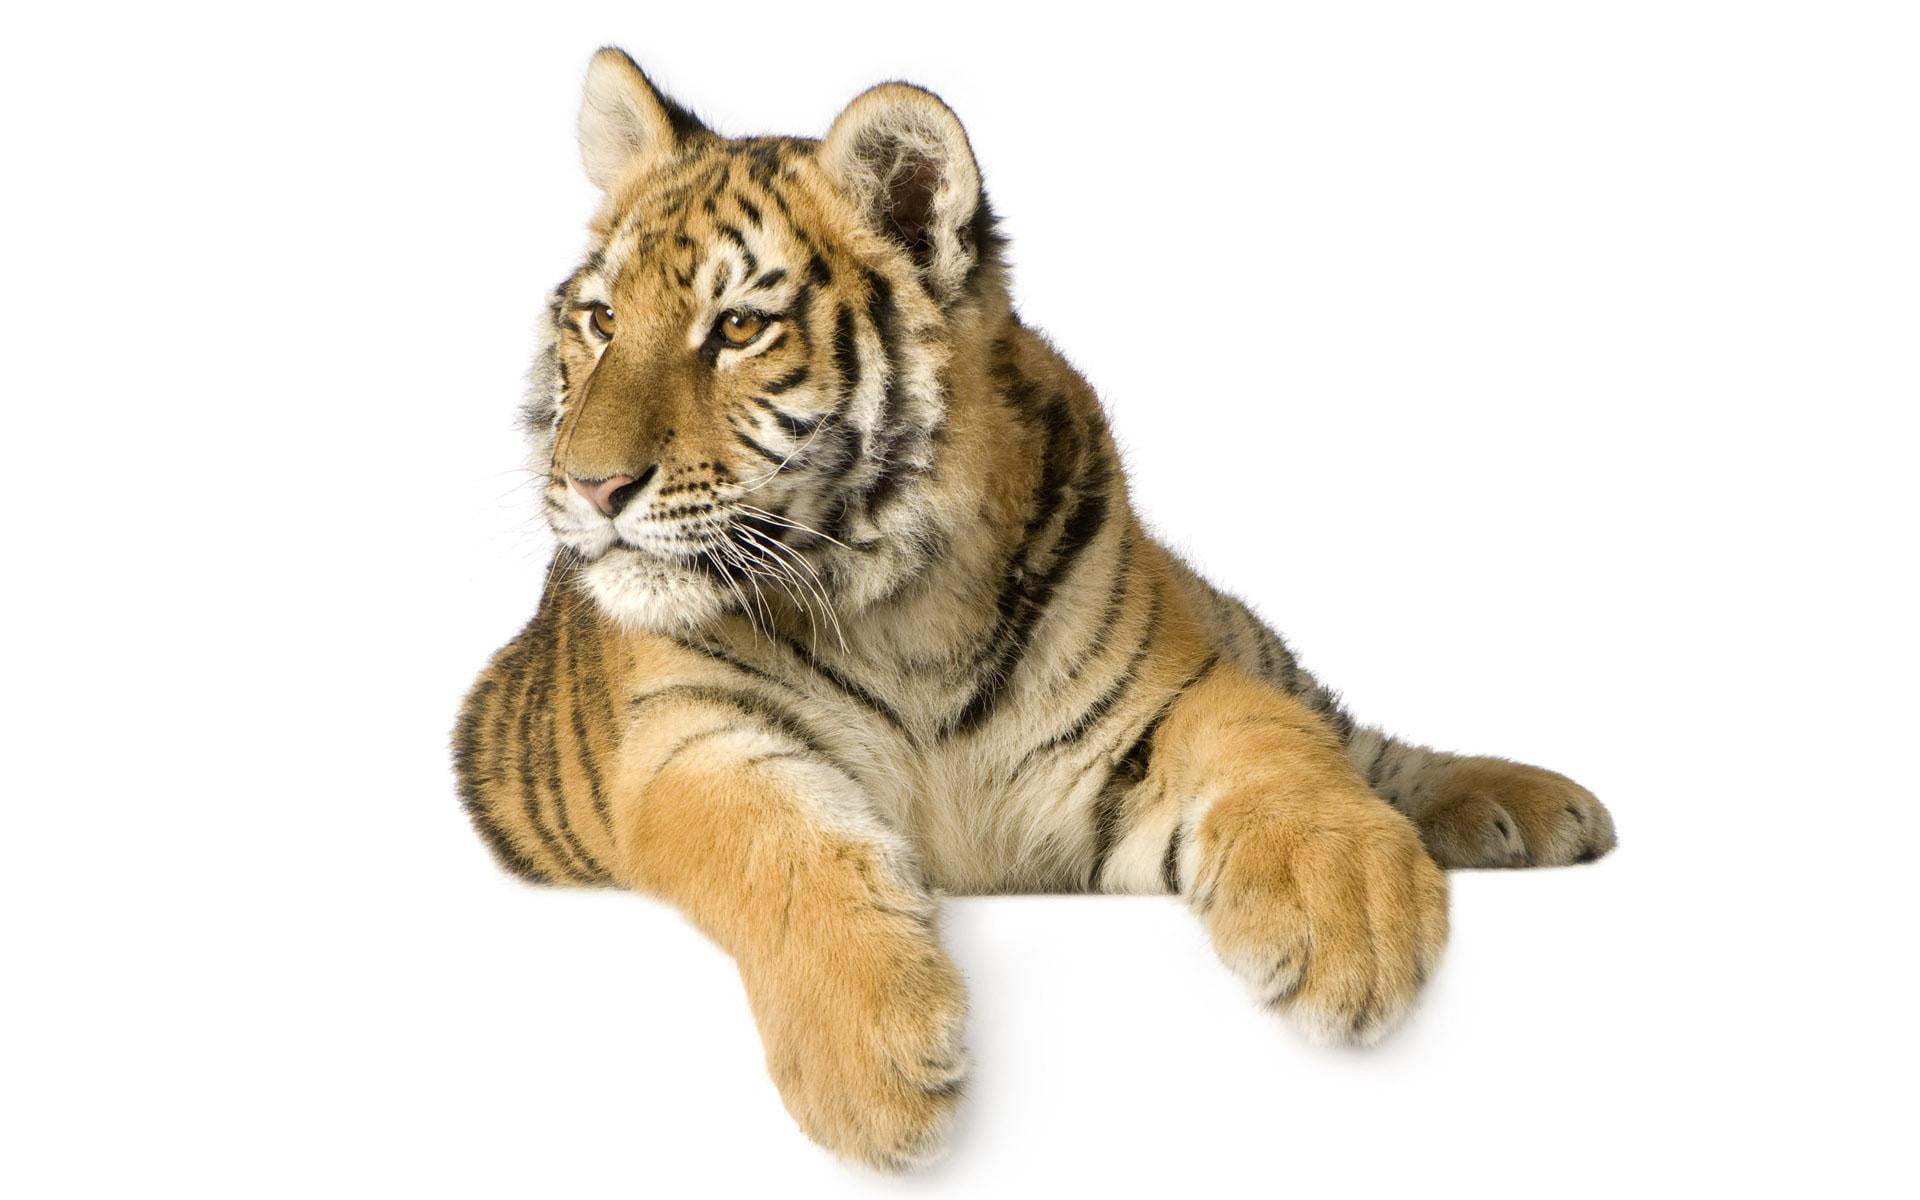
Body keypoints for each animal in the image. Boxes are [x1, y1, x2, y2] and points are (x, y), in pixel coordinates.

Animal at [453, 47, 1617, 1171]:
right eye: (601, 320)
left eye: (737, 327)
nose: (592, 487)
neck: (899, 605)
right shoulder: (690, 741)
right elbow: (777, 849)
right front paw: (875, 1073)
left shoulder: (1167, 694)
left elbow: (1275, 745)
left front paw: (1350, 919)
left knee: (1351, 734)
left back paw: (1542, 809)